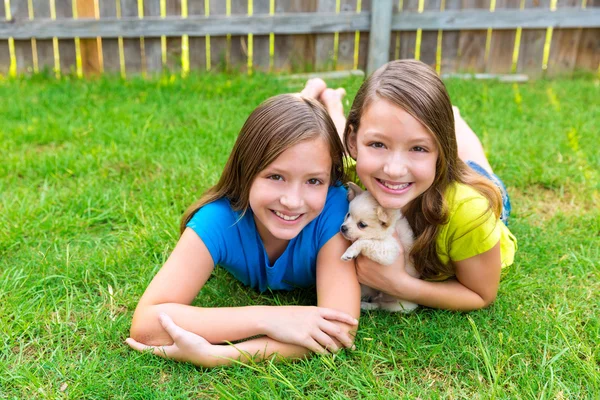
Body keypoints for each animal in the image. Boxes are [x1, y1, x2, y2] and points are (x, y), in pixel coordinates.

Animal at [340, 183, 420, 314]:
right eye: (348, 215)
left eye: (362, 225)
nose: (343, 228)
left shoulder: (389, 249)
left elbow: (364, 241)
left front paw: (350, 252)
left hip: (399, 306)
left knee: (380, 305)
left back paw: (365, 305)